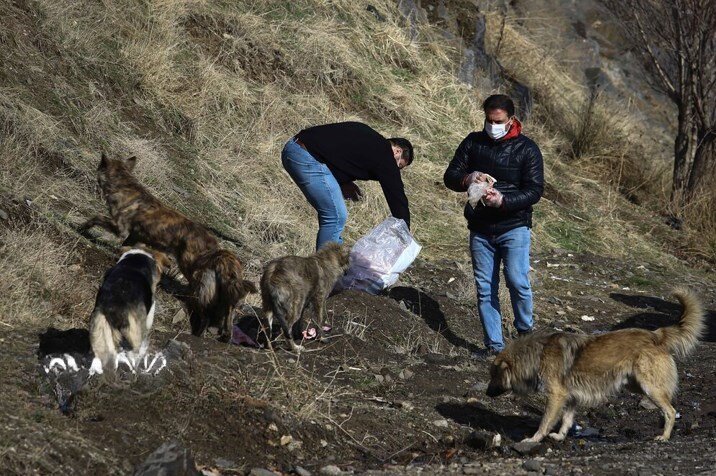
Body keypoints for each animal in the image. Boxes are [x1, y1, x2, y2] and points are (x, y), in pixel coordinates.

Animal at [486, 288, 704, 444]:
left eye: (493, 376)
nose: (486, 393)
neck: (538, 354)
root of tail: (656, 335)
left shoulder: (556, 395)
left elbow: (545, 421)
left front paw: (534, 439)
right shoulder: (571, 396)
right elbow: (567, 419)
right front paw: (560, 436)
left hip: (650, 387)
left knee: (670, 411)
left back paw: (664, 437)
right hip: (634, 384)